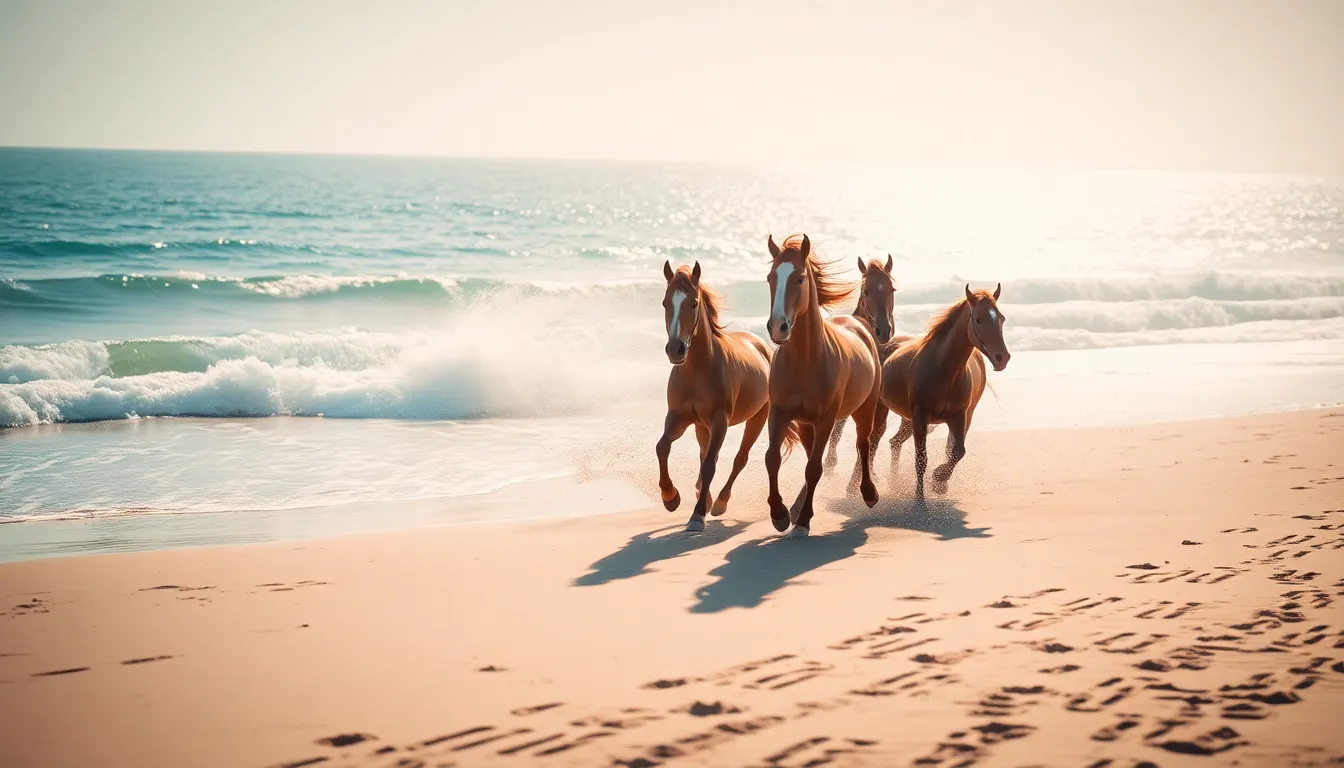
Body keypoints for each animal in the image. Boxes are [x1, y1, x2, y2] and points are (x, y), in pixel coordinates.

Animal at [655, 261, 793, 532]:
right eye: (666, 303)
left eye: (693, 303)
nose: (676, 349)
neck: (697, 371)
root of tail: (761, 345)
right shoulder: (677, 418)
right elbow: (662, 447)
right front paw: (670, 497)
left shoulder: (720, 422)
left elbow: (711, 464)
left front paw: (697, 516)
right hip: (701, 426)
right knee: (704, 453)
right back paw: (704, 495)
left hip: (757, 419)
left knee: (739, 458)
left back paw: (719, 502)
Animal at [762, 233, 883, 537]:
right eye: (771, 277)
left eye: (800, 278)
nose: (778, 327)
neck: (805, 362)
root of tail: (858, 322)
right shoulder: (779, 413)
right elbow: (773, 458)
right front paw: (780, 514)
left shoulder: (827, 419)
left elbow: (815, 468)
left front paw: (803, 520)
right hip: (806, 424)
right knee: (809, 454)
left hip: (864, 409)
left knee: (863, 443)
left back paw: (869, 494)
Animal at [879, 284, 1011, 499]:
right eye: (979, 319)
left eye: (1001, 318)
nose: (1002, 358)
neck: (944, 371)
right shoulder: (921, 416)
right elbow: (921, 459)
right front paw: (920, 500)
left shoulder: (958, 417)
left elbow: (957, 451)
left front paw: (939, 479)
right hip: (886, 411)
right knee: (876, 442)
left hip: (918, 419)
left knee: (895, 442)